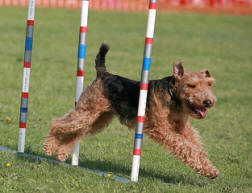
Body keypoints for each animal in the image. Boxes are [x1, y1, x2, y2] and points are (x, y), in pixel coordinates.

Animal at [43, 43, 219, 179]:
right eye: (191, 85)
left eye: (209, 84)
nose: (208, 102)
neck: (172, 96)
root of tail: (103, 73)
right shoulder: (161, 129)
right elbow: (186, 147)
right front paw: (207, 169)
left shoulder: (182, 128)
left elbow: (196, 145)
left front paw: (209, 168)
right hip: (87, 112)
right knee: (58, 123)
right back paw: (49, 147)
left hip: (98, 118)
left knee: (75, 132)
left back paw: (61, 153)